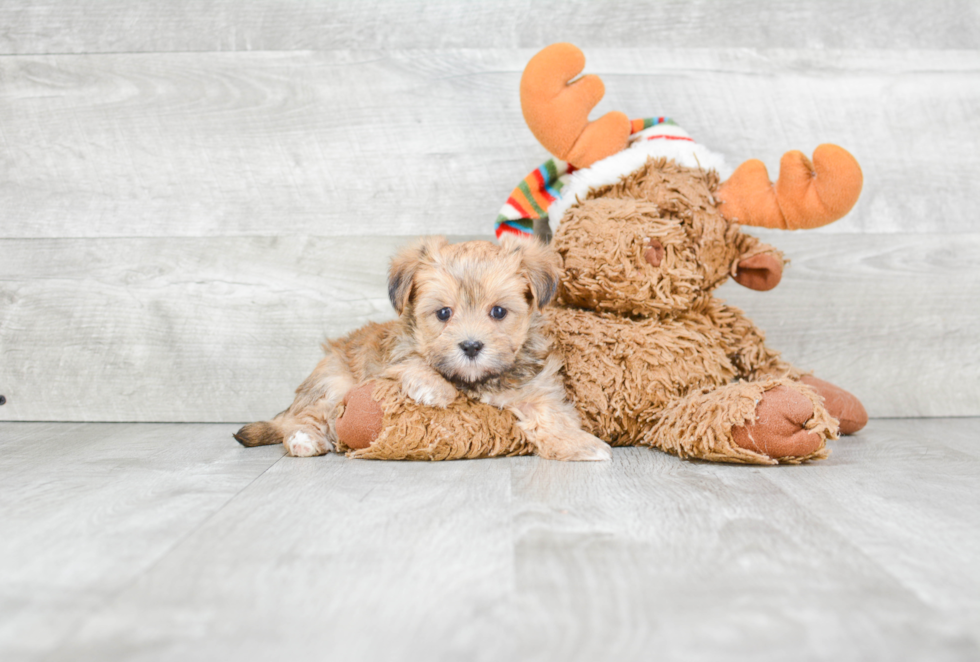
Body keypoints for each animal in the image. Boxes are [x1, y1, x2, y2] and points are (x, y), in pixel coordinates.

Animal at [234, 237, 608, 462]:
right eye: (443, 313)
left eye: (499, 312)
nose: (471, 346)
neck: (473, 381)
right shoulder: (388, 356)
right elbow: (413, 358)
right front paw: (433, 386)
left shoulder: (534, 386)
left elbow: (551, 414)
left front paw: (580, 443)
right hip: (333, 382)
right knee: (307, 417)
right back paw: (305, 439)